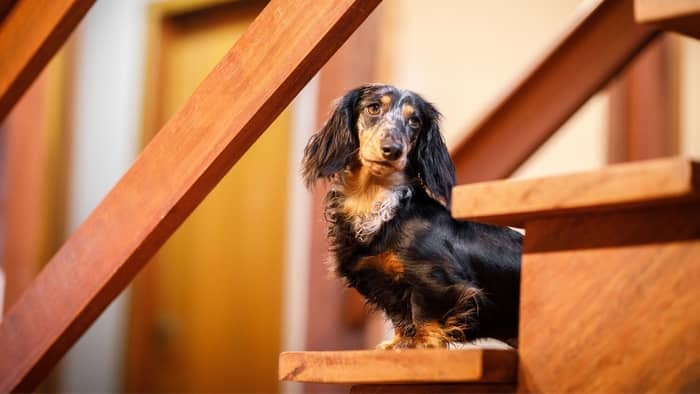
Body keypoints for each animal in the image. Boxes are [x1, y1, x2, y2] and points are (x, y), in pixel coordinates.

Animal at [304, 83, 524, 348]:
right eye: (373, 108)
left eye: (415, 121)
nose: (393, 150)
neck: (380, 205)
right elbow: (400, 315)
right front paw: (397, 344)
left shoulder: (434, 279)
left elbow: (424, 315)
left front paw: (420, 345)